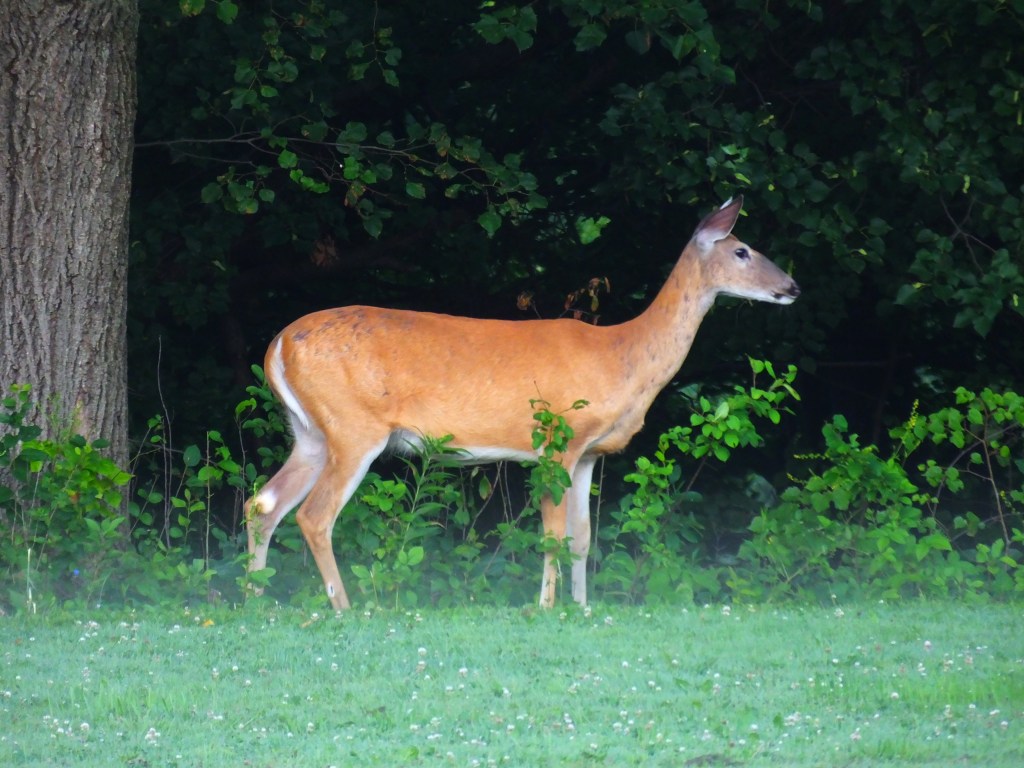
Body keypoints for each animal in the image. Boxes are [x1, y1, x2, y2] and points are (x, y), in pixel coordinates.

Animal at [244, 196, 800, 610]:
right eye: (743, 251)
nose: (792, 287)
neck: (622, 356)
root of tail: (277, 345)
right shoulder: (558, 437)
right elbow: (552, 530)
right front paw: (547, 605)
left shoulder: (590, 453)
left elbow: (583, 535)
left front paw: (583, 607)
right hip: (353, 426)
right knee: (315, 514)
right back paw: (345, 607)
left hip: (311, 433)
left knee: (263, 502)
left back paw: (256, 598)